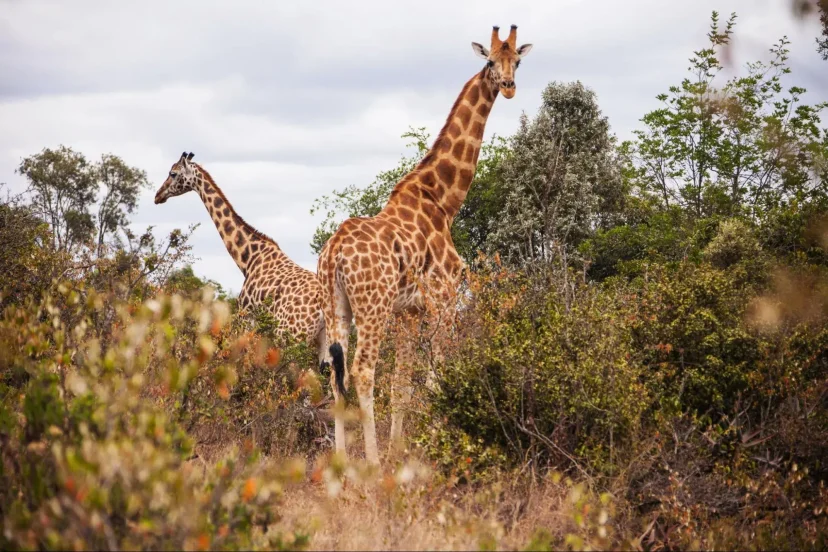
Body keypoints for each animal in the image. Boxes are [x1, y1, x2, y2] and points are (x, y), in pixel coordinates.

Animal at [318, 26, 533, 464]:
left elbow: (403, 383)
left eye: (517, 61)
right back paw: (371, 463)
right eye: (490, 61)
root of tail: (333, 255)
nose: (508, 87)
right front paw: (431, 447)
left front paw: (402, 448)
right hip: (373, 306)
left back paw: (343, 464)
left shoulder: (409, 311)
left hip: (337, 307)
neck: (443, 199)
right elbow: (438, 378)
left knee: (335, 374)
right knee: (362, 371)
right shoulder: (443, 299)